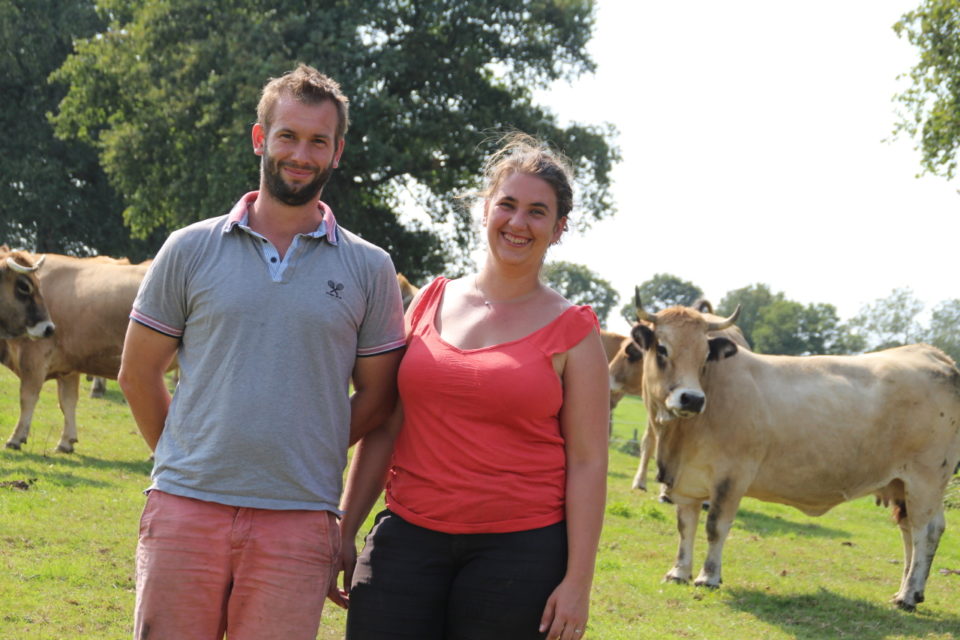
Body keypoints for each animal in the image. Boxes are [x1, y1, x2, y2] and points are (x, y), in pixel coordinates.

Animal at [2, 252, 158, 452]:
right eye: (24, 286)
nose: (48, 328)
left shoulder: (34, 358)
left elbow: (27, 398)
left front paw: (15, 438)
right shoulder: (68, 367)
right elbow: (67, 402)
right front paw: (66, 442)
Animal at [632, 300, 960, 608]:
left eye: (704, 355)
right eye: (662, 348)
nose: (692, 398)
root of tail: (931, 354)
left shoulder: (732, 477)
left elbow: (715, 527)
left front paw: (708, 577)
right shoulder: (686, 481)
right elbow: (685, 527)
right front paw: (678, 572)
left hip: (926, 480)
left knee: (926, 531)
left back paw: (908, 595)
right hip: (903, 485)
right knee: (911, 531)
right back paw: (909, 591)